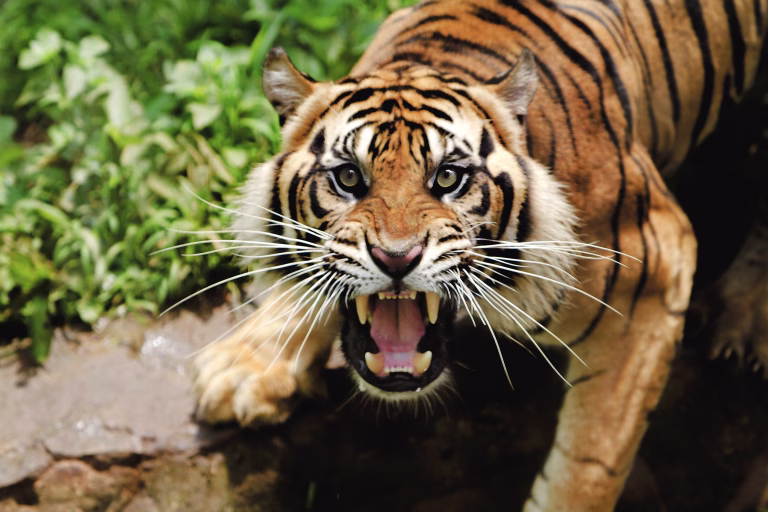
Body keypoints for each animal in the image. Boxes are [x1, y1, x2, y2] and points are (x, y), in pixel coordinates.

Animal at [191, 0, 768, 510]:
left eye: (448, 177)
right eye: (349, 178)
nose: (395, 258)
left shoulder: (655, 267)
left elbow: (585, 468)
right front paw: (244, 366)